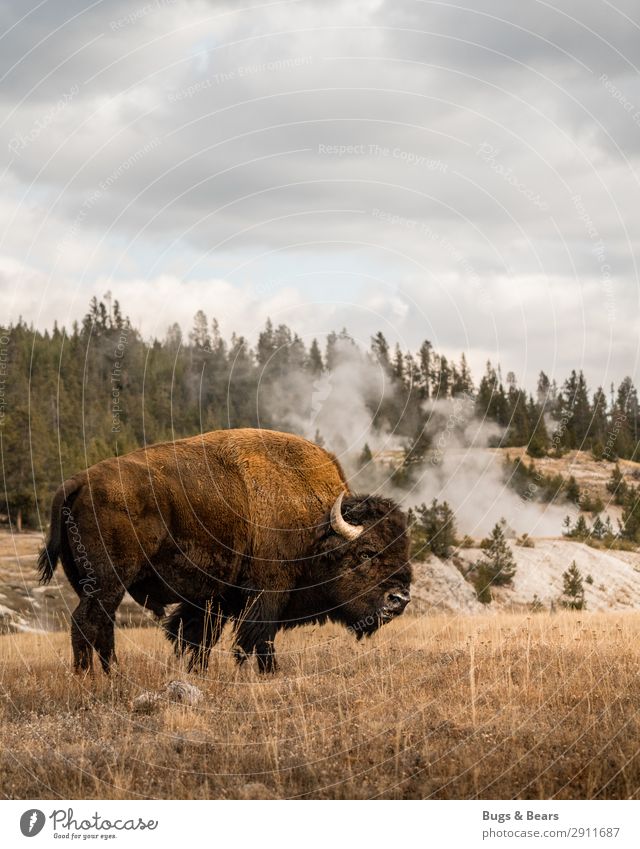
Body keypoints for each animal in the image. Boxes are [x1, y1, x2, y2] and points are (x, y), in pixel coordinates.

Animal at [38, 428, 410, 672]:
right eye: (366, 552)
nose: (400, 599)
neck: (316, 526)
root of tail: (77, 482)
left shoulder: (218, 597)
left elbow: (196, 636)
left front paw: (196, 672)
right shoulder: (268, 591)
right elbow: (257, 638)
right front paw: (266, 673)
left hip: (97, 586)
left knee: (102, 626)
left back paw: (112, 673)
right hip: (107, 583)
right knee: (88, 623)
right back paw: (92, 677)